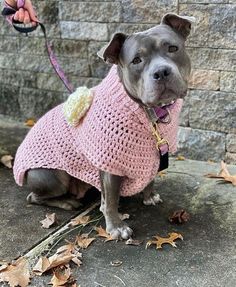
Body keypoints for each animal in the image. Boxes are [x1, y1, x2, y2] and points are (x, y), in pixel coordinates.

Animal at [12, 13, 194, 241]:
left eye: (172, 48)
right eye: (136, 60)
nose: (161, 72)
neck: (148, 111)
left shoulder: (154, 155)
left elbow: (150, 178)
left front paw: (149, 195)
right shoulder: (109, 164)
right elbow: (111, 200)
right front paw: (116, 226)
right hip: (52, 176)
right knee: (33, 197)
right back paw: (67, 202)